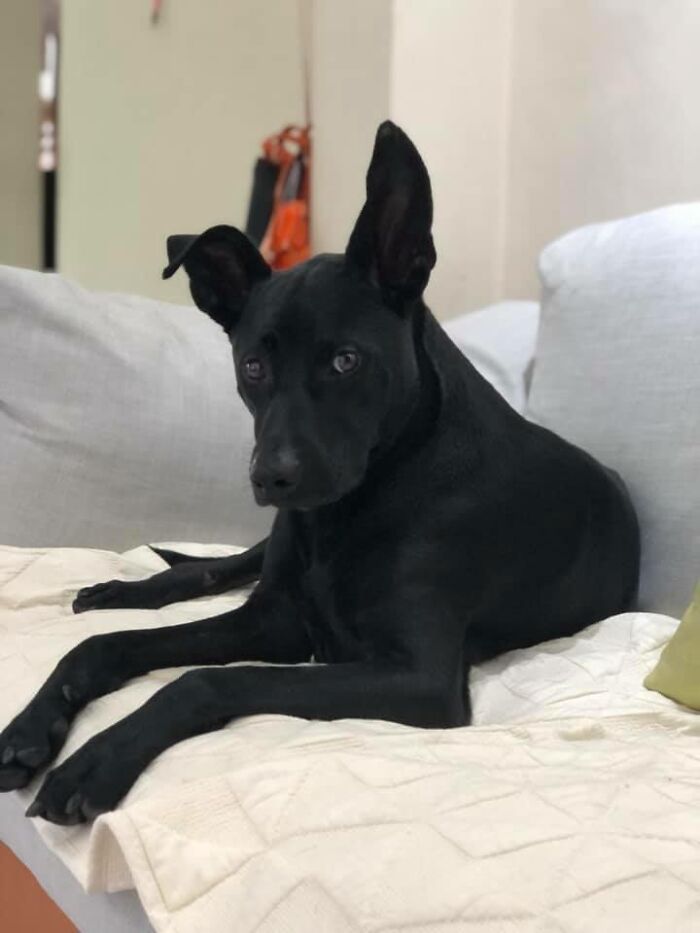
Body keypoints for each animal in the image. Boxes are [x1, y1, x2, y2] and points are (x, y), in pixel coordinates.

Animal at [0, 124, 640, 824]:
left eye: (345, 361)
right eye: (252, 367)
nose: (271, 480)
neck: (366, 499)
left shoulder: (417, 676)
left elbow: (207, 679)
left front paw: (97, 760)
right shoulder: (272, 620)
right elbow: (105, 646)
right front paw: (31, 725)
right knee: (211, 569)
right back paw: (122, 589)